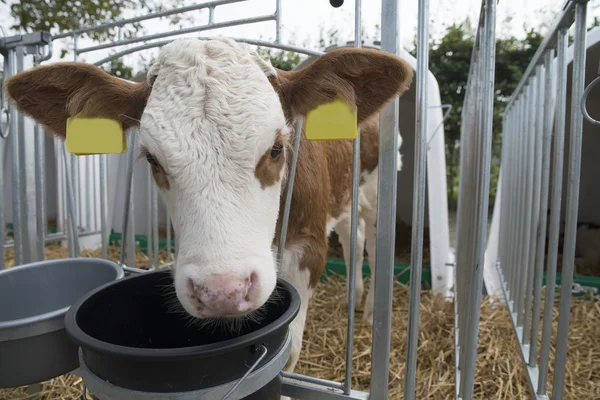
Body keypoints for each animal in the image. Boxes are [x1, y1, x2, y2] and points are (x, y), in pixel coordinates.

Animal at [4, 38, 414, 384]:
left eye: (277, 148)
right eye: (152, 158)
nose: (222, 291)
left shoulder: (309, 248)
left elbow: (292, 351)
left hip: (378, 190)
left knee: (373, 243)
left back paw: (370, 310)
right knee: (351, 234)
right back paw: (354, 299)